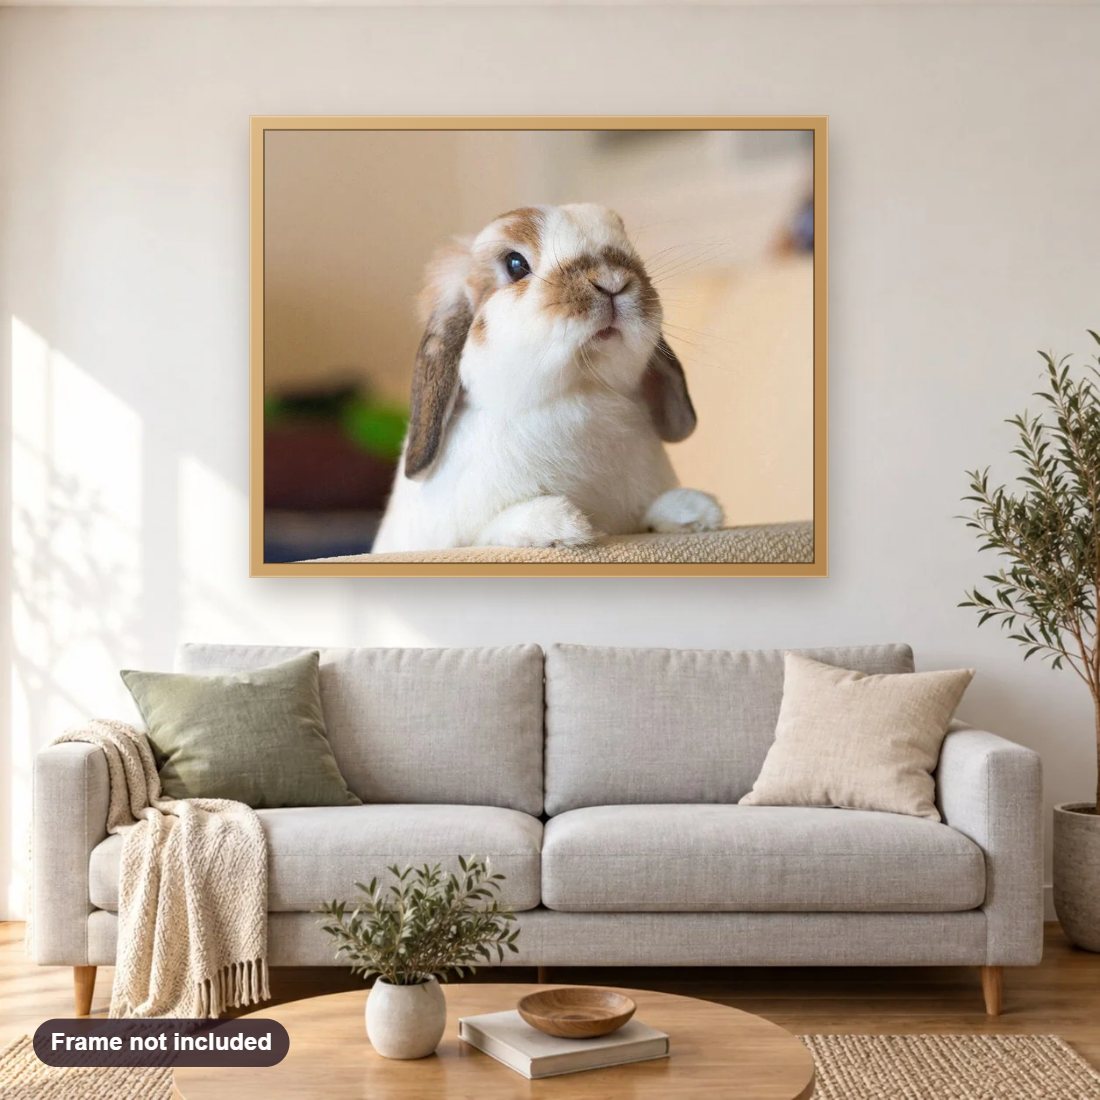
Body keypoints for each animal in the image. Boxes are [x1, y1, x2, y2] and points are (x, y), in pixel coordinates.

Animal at [371, 203, 724, 553]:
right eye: (515, 264)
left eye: (628, 248)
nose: (612, 281)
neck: (581, 390)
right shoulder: (463, 537)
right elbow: (492, 529)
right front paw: (561, 524)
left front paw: (697, 511)